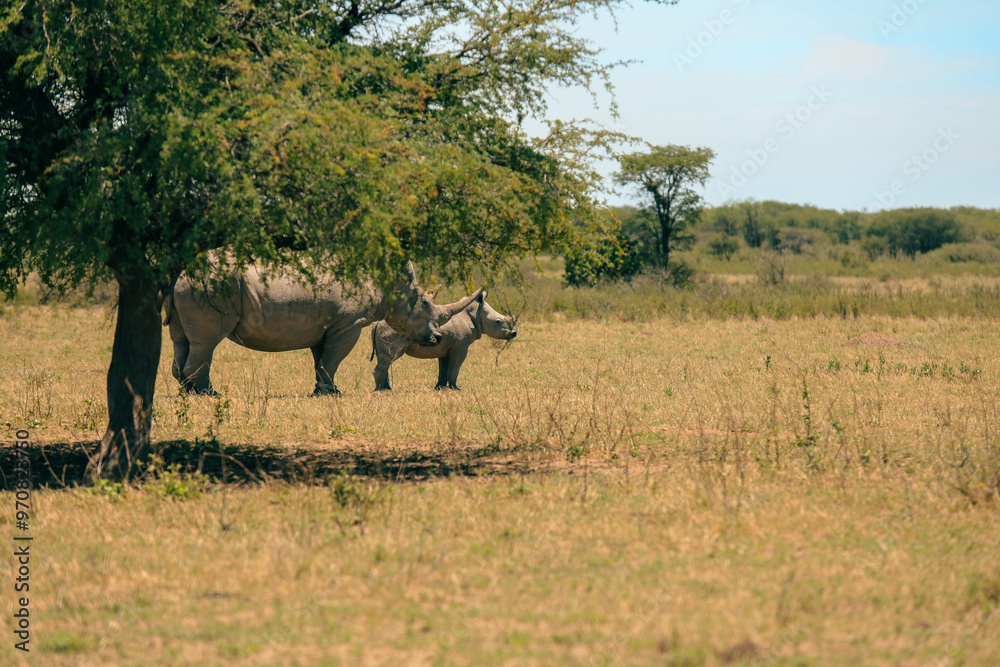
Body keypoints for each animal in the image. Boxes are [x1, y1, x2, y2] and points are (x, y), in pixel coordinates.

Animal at [164, 261, 482, 396]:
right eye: (425, 304)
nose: (437, 338)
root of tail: (179, 276)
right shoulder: (348, 324)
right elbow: (334, 359)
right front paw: (332, 394)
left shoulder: (325, 326)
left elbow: (322, 361)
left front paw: (325, 390)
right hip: (210, 287)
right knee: (206, 342)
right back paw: (207, 395)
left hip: (190, 288)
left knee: (183, 340)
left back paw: (188, 391)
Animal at [370, 290, 517, 391]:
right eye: (498, 321)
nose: (514, 333)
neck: (476, 313)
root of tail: (376, 323)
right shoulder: (461, 346)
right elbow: (455, 368)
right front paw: (455, 389)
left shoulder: (445, 348)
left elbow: (444, 369)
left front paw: (439, 388)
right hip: (393, 331)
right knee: (390, 357)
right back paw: (381, 391)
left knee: (384, 358)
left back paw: (386, 388)